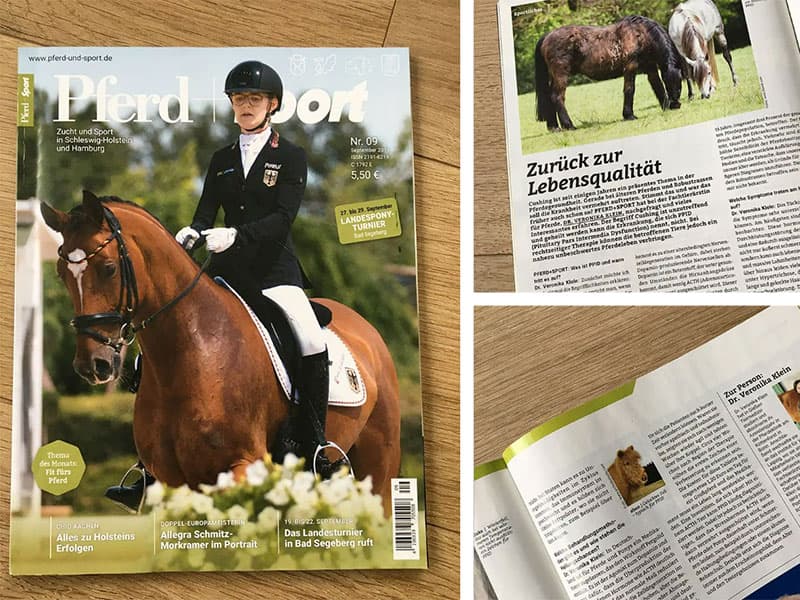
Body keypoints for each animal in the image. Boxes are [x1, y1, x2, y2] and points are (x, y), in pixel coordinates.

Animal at [40, 191, 401, 514]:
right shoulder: (173, 483)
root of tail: (366, 330)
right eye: (61, 273)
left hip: (378, 470)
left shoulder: (242, 468)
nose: (93, 364)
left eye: (109, 268)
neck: (194, 350)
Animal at [534, 15, 683, 131]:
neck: (640, 34)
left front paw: (665, 106)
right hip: (561, 74)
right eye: (669, 82)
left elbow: (657, 86)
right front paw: (629, 115)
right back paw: (568, 125)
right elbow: (630, 89)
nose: (676, 104)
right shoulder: (630, 67)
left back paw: (554, 127)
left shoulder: (651, 67)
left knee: (549, 97)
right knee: (557, 97)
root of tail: (547, 36)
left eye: (680, 82)